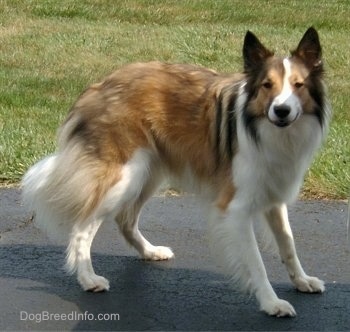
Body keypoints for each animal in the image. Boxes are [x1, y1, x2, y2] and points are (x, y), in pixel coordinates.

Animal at [22, 27, 330, 316]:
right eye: (267, 85)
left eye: (298, 85)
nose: (281, 110)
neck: (266, 128)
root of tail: (99, 86)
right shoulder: (236, 209)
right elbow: (256, 263)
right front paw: (271, 302)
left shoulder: (273, 194)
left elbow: (288, 245)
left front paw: (302, 281)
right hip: (124, 176)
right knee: (82, 227)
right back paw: (88, 278)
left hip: (148, 173)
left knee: (125, 219)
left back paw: (149, 251)